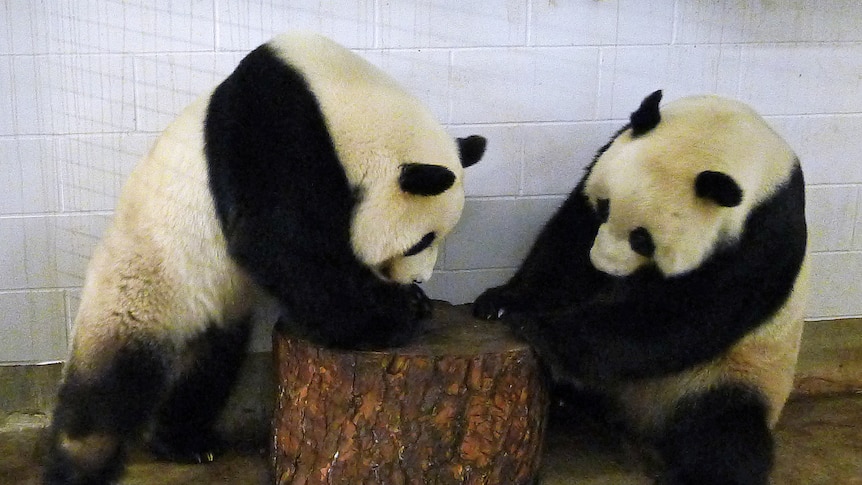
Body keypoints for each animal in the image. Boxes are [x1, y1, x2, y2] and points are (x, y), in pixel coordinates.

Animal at [45, 32, 486, 482]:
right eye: (421, 241)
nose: (419, 280)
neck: (342, 102)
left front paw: (411, 304)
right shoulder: (273, 128)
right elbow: (277, 241)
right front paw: (391, 318)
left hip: (212, 306)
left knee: (208, 368)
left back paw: (185, 442)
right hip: (148, 281)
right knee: (111, 383)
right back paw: (80, 463)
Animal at [476, 90, 808, 484]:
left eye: (642, 240)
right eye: (605, 207)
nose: (603, 266)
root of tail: (639, 422)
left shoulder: (765, 233)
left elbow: (688, 314)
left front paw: (541, 329)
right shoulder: (606, 157)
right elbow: (568, 242)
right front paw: (503, 302)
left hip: (731, 375)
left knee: (725, 436)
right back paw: (566, 399)